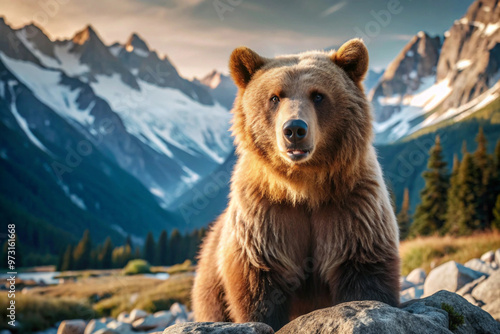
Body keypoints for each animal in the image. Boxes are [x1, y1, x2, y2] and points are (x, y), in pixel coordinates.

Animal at [191, 37, 398, 330]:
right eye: (275, 97)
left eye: (318, 95)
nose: (294, 130)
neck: (304, 187)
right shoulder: (265, 218)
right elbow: (259, 287)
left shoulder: (353, 207)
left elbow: (364, 273)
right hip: (211, 285)